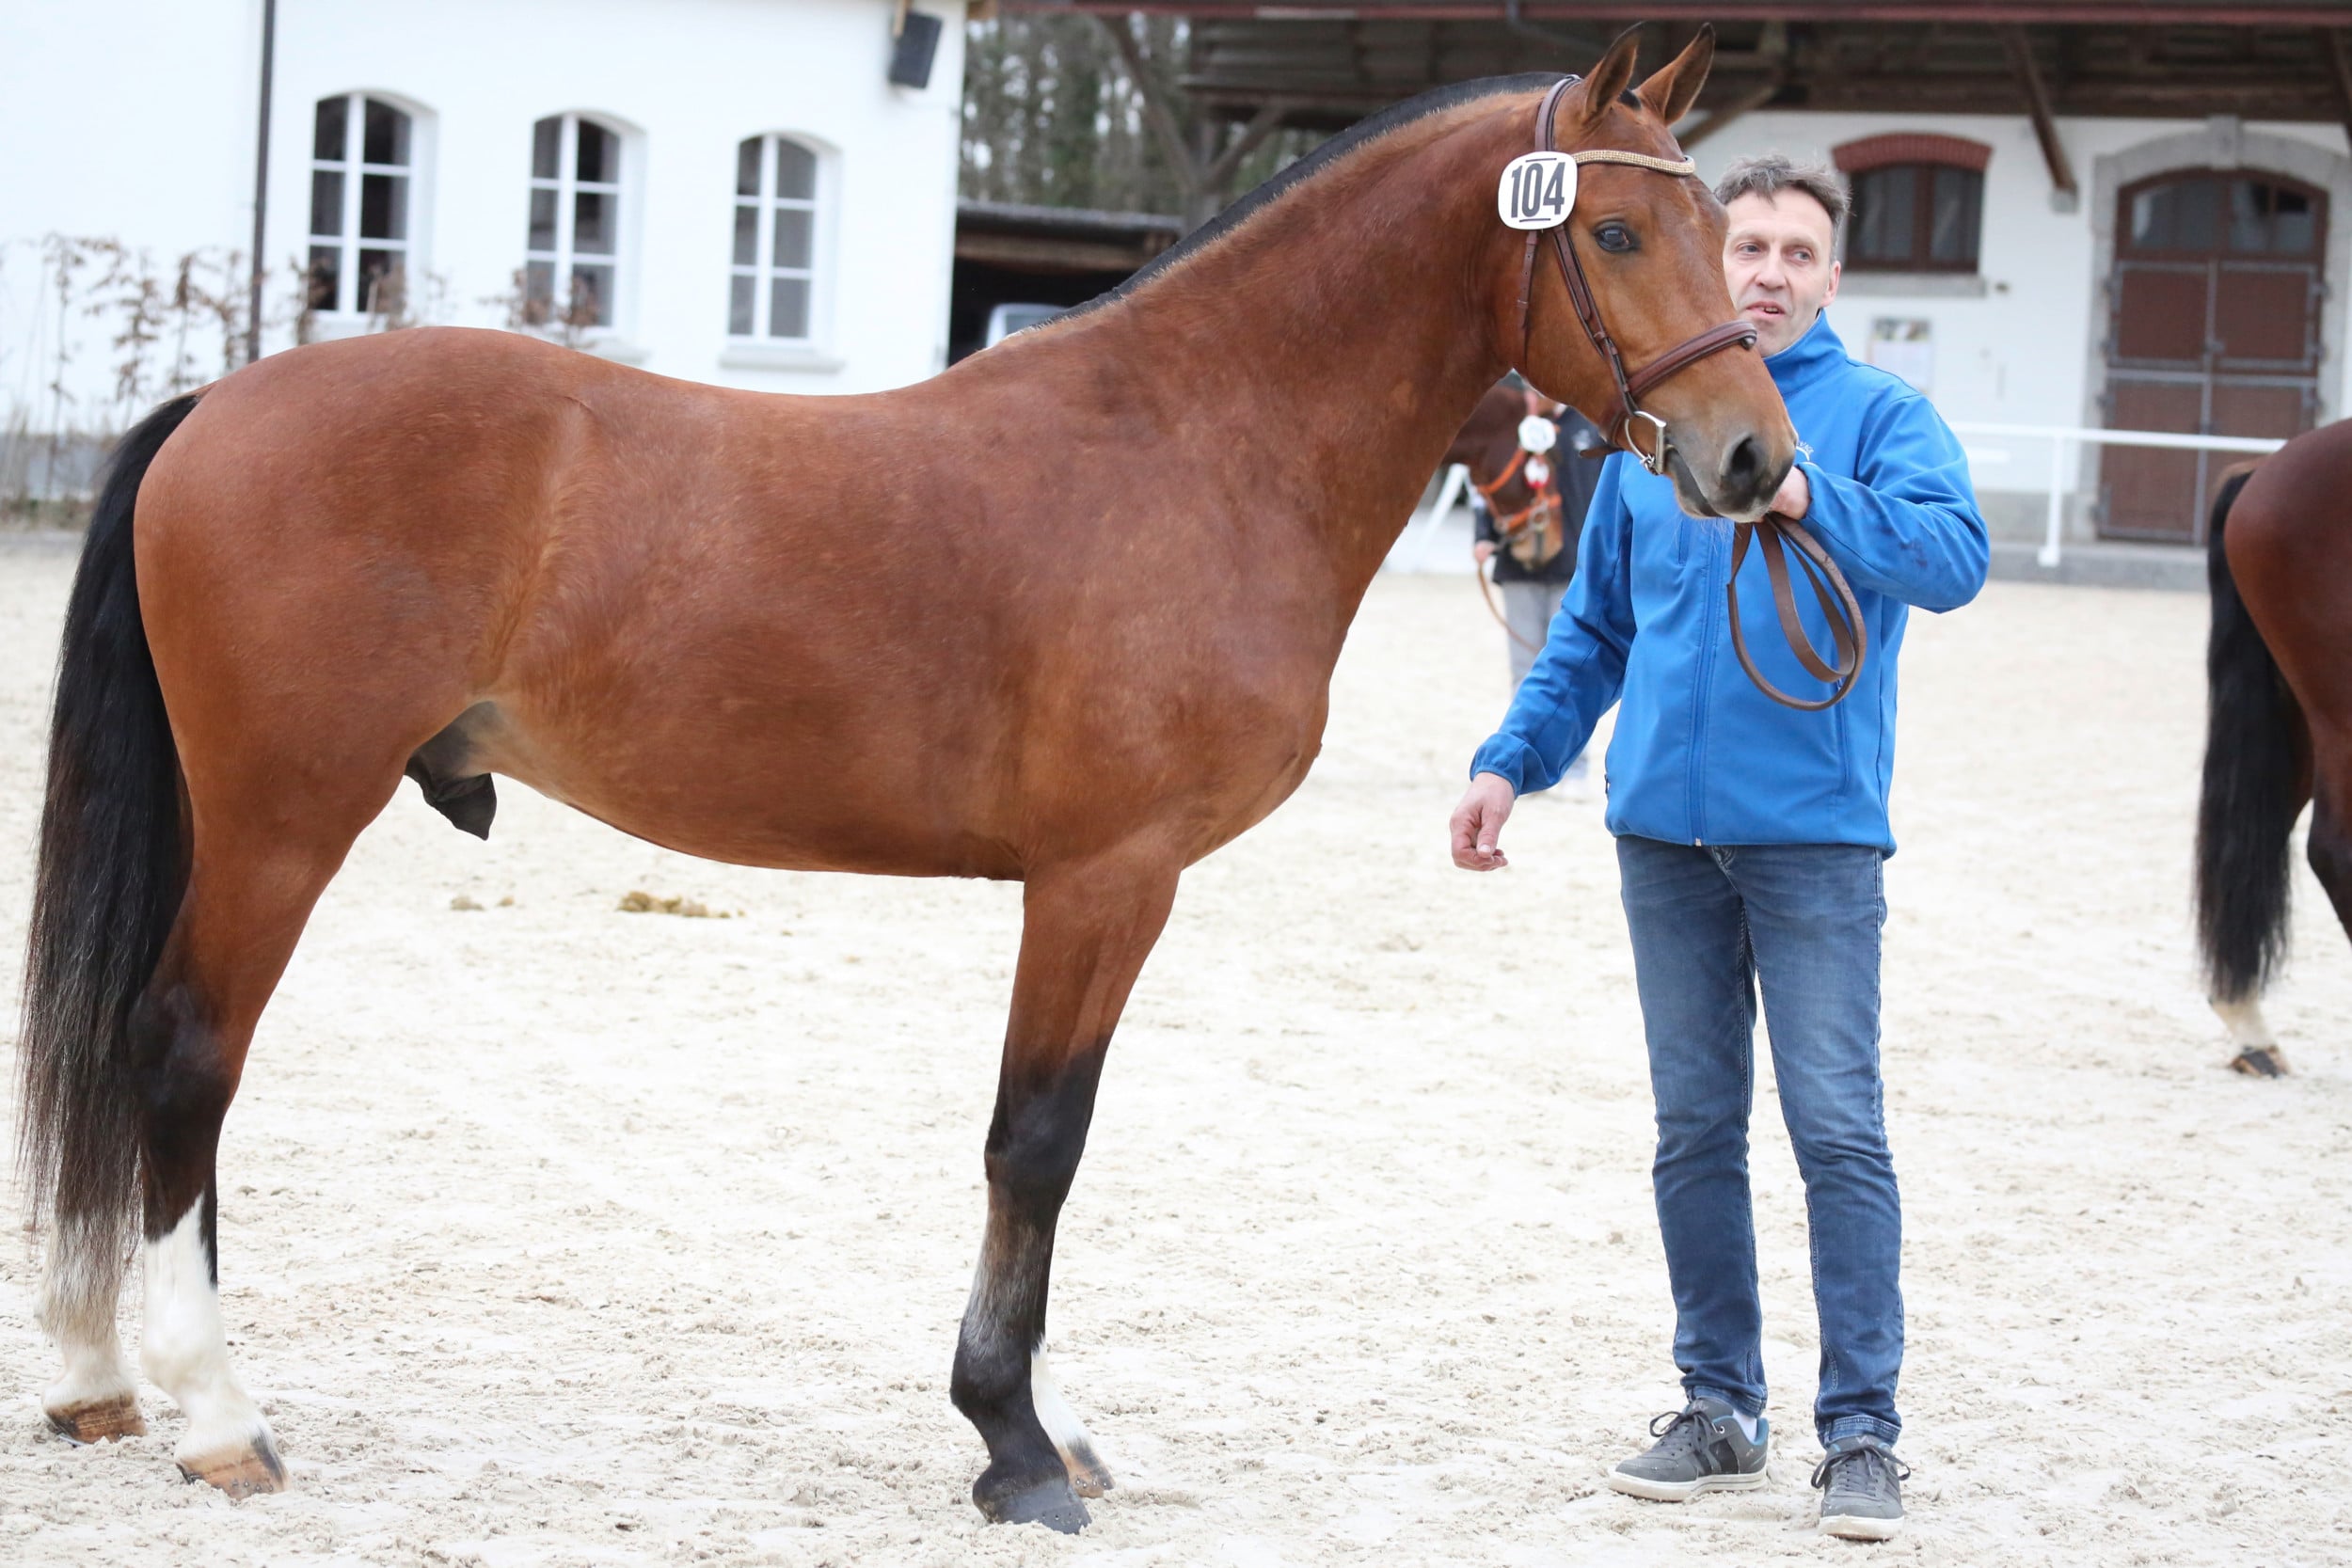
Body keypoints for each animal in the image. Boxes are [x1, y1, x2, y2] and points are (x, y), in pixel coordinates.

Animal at [16, 29, 1791, 1529]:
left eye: (1718, 231)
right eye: (1616, 236)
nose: (1756, 458)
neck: (1196, 440)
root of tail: (219, 404)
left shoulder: (1104, 886)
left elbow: (1049, 1142)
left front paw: (1048, 1418)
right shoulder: (1105, 877)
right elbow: (1038, 1141)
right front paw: (1012, 1440)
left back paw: (106, 1376)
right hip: (280, 819)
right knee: (181, 1054)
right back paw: (215, 1410)